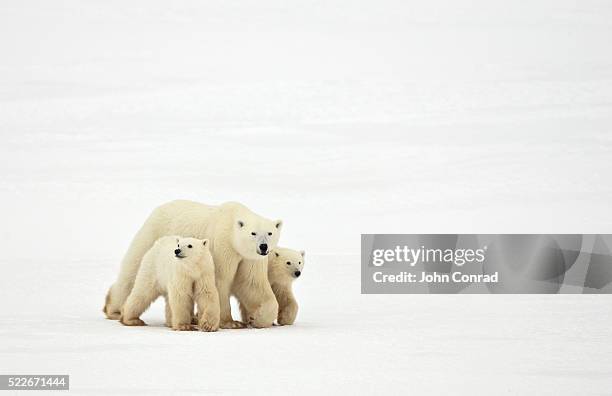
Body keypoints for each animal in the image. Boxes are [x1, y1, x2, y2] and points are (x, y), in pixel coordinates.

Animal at [104, 200, 282, 330]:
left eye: (270, 233)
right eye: (253, 233)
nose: (263, 247)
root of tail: (158, 209)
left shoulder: (249, 258)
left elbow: (252, 283)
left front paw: (256, 319)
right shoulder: (222, 247)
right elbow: (220, 282)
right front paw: (231, 323)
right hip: (152, 234)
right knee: (132, 271)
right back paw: (115, 310)